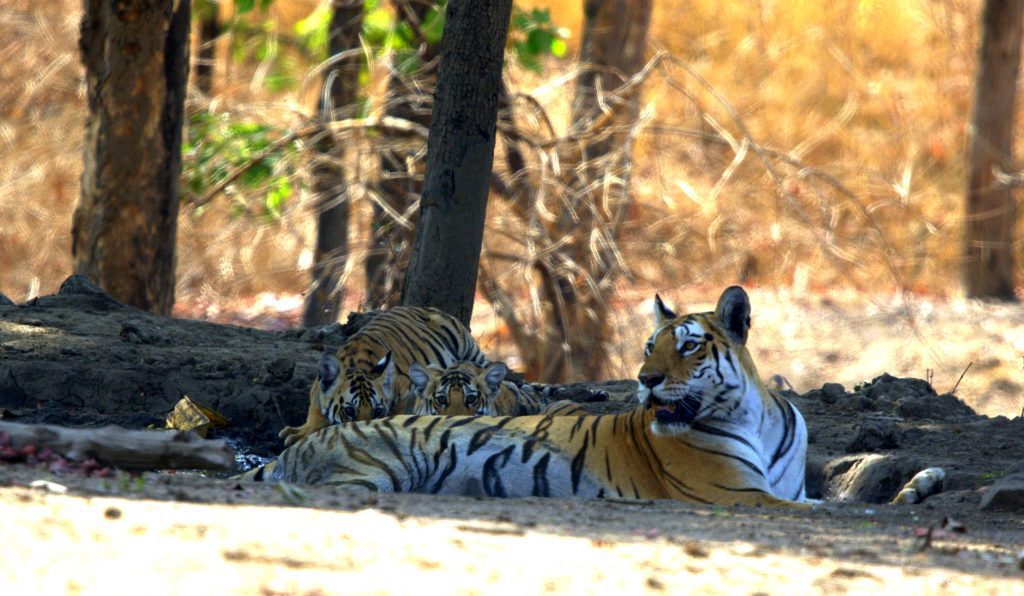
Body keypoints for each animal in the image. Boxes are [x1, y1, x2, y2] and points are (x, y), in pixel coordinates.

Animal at [280, 305, 487, 446]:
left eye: (377, 411)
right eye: (349, 411)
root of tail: (427, 307)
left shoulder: (406, 392)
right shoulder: (317, 392)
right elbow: (315, 413)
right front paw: (300, 432)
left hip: (469, 350)